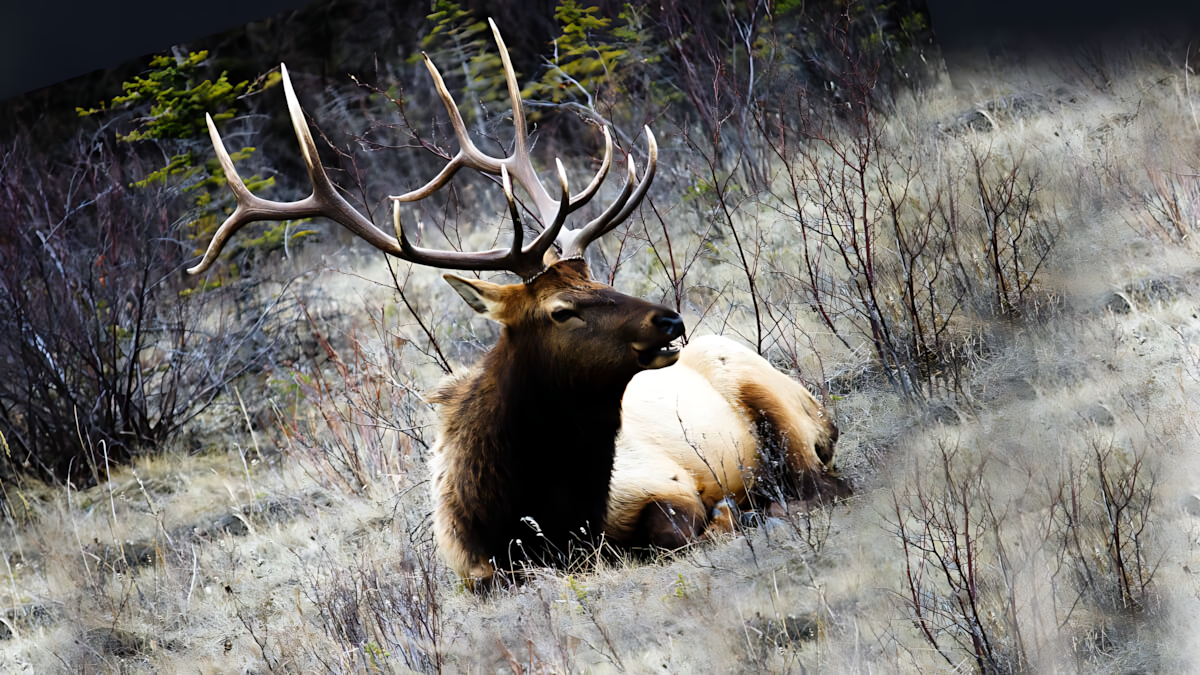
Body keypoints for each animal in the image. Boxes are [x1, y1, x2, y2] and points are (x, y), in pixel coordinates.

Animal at [189, 19, 844, 588]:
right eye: (561, 310)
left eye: (598, 277)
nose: (669, 318)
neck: (537, 512)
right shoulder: (474, 569)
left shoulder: (669, 482)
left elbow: (687, 527)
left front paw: (739, 512)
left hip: (780, 406)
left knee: (820, 479)